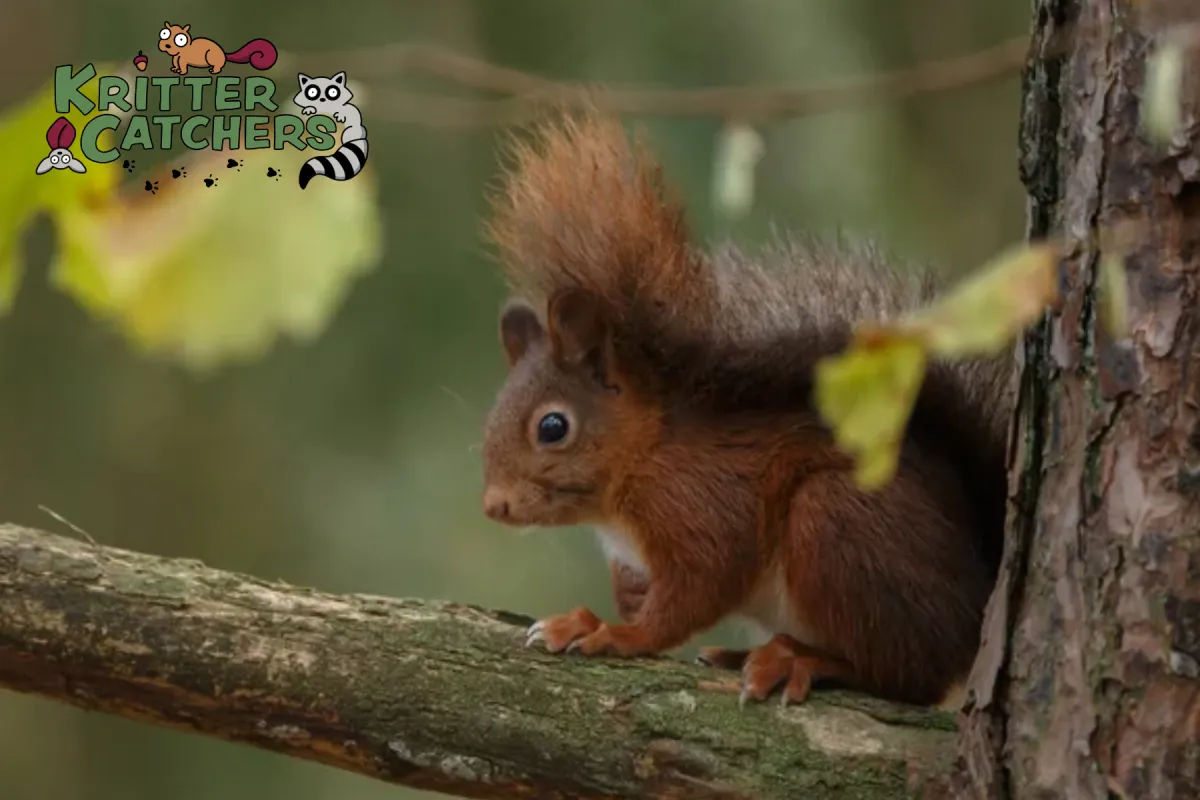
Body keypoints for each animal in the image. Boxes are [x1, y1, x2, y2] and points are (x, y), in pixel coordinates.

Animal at [478, 108, 1013, 709]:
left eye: (552, 426)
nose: (493, 505)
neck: (643, 454)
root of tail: (974, 607)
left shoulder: (703, 503)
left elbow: (697, 590)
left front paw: (614, 633)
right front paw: (605, 608)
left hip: (839, 524)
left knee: (907, 677)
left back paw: (800, 659)